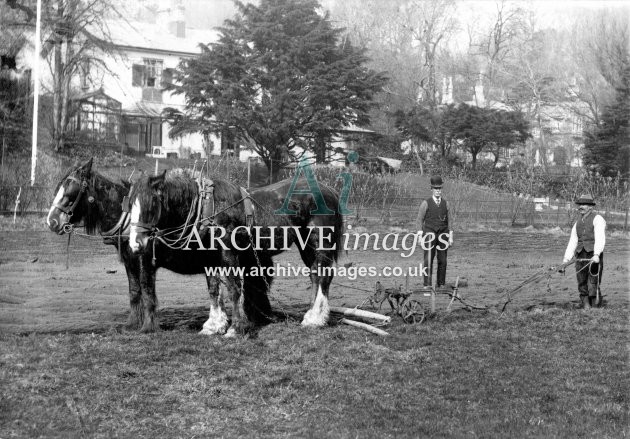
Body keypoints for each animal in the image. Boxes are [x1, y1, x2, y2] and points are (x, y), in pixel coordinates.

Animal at [130, 170, 346, 336]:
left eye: (151, 205)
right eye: (129, 206)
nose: (136, 244)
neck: (209, 208)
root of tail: (330, 191)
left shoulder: (229, 253)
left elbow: (234, 289)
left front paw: (236, 328)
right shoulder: (210, 258)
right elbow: (214, 289)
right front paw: (214, 325)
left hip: (319, 243)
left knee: (322, 276)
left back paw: (316, 318)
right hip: (306, 246)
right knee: (316, 276)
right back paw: (312, 316)